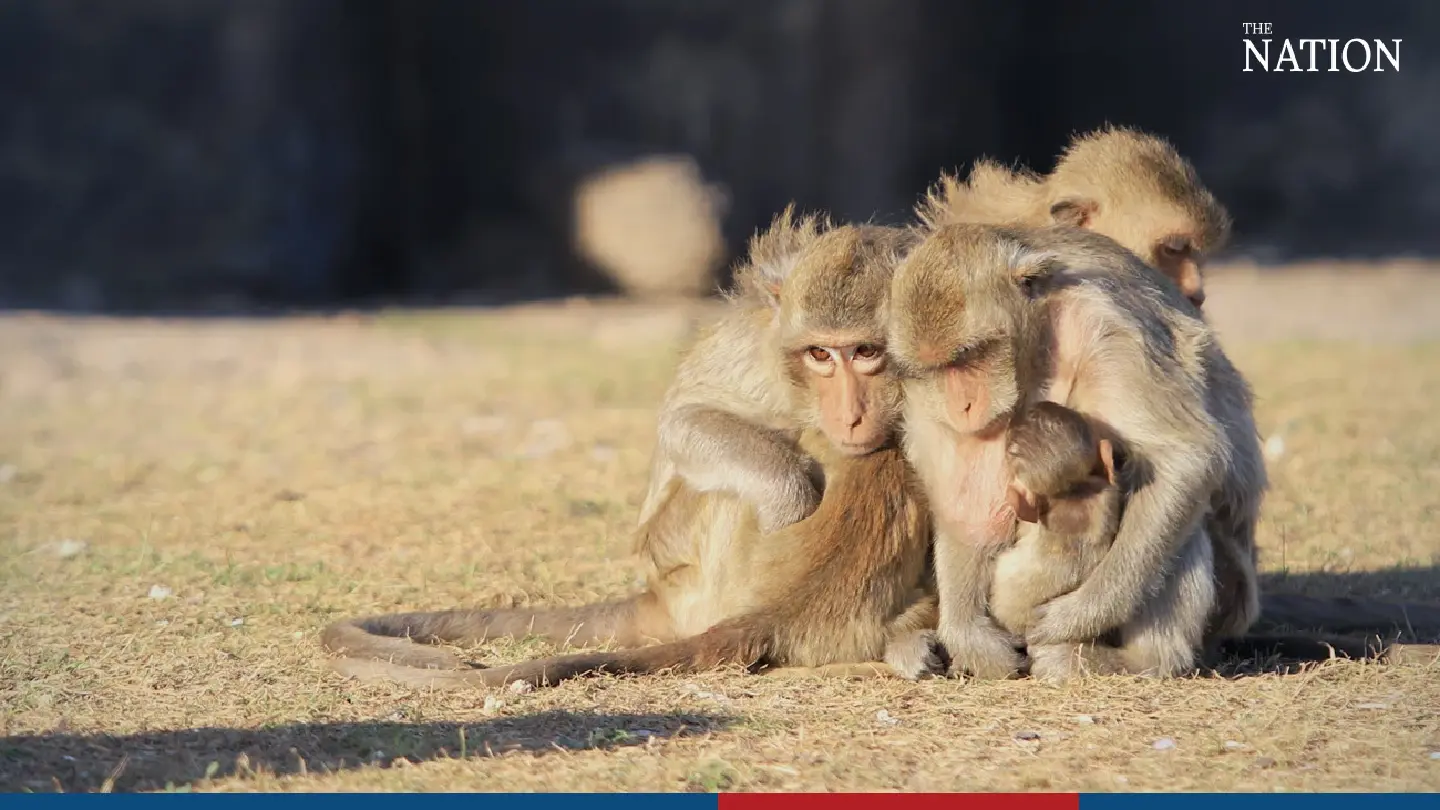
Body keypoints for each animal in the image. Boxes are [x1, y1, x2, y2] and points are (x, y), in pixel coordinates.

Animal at [323, 214, 947, 687]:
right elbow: (684, 420)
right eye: (821, 354)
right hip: (689, 574)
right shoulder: (759, 346)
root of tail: (660, 598)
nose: (850, 414)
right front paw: (787, 506)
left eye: (866, 352)